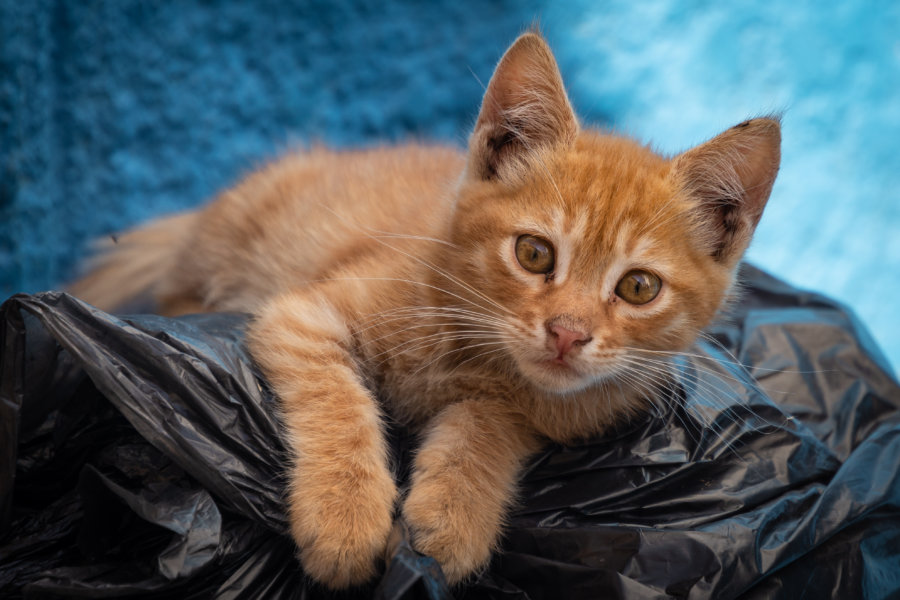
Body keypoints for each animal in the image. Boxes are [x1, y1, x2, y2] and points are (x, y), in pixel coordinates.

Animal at [68, 31, 780, 584]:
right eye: (534, 254)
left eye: (637, 288)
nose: (566, 334)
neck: (468, 335)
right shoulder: (301, 313)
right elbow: (337, 398)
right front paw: (344, 513)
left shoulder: (547, 411)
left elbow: (494, 422)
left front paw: (454, 512)